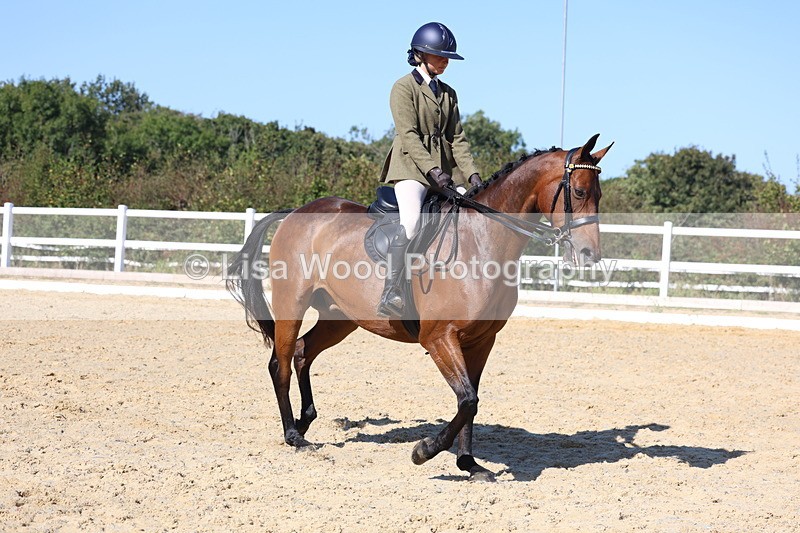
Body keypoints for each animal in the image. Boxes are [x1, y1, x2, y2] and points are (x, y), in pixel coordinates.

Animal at [227, 134, 612, 481]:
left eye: (599, 195)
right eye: (579, 192)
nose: (590, 255)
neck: (482, 242)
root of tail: (296, 212)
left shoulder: (482, 341)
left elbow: (471, 401)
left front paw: (469, 465)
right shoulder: (439, 338)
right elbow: (467, 400)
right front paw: (424, 451)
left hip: (340, 317)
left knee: (303, 351)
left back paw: (304, 422)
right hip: (292, 302)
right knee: (280, 362)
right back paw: (292, 435)